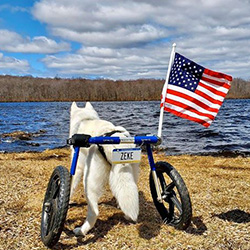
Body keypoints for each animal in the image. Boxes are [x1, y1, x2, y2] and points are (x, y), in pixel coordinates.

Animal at [69, 101, 139, 236]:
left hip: (89, 182)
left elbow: (71, 186)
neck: (85, 119)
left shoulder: (78, 167)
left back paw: (81, 231)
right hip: (131, 175)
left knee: (94, 213)